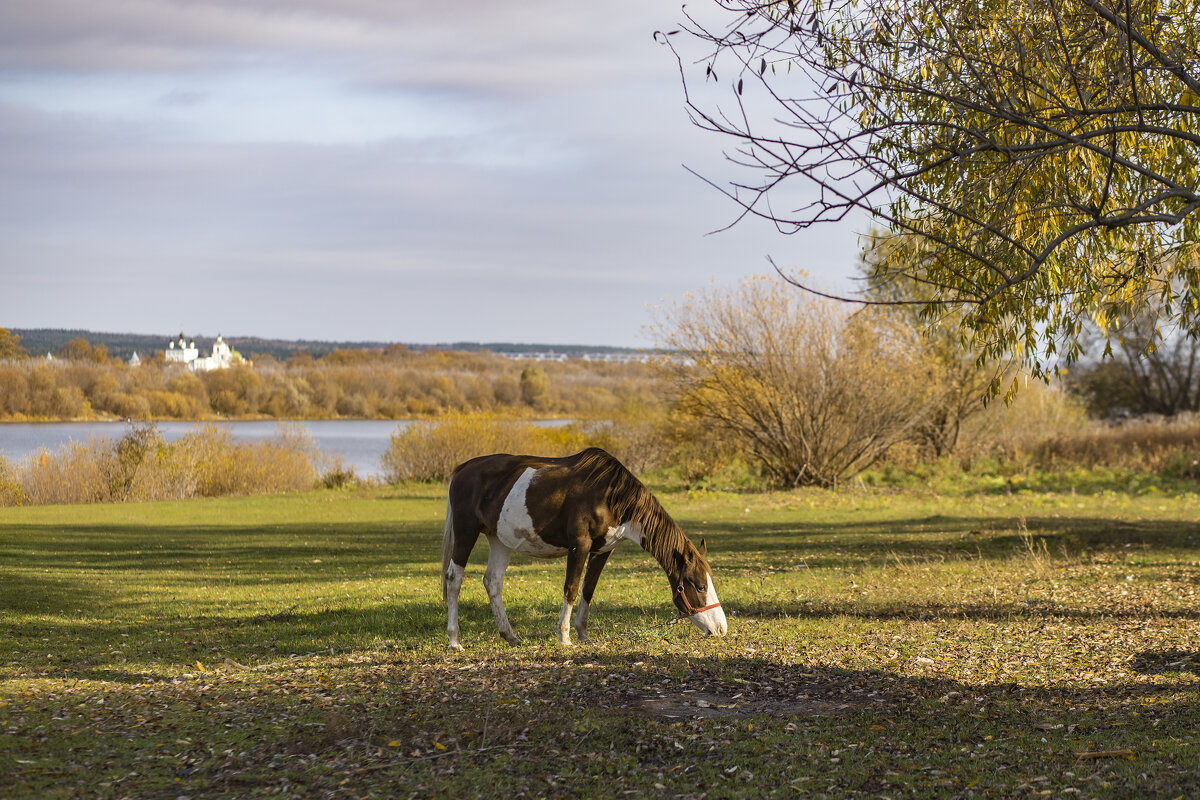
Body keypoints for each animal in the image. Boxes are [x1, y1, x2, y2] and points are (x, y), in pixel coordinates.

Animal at [439, 448, 720, 647]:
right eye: (700, 586)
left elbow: (588, 590)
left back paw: (510, 636)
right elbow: (571, 588)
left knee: (492, 582)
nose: (720, 629)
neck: (610, 496)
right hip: (466, 532)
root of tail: (463, 469)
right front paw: (564, 637)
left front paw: (583, 634)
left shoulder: (603, 550)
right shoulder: (579, 545)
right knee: (454, 579)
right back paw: (454, 640)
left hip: (499, 539)